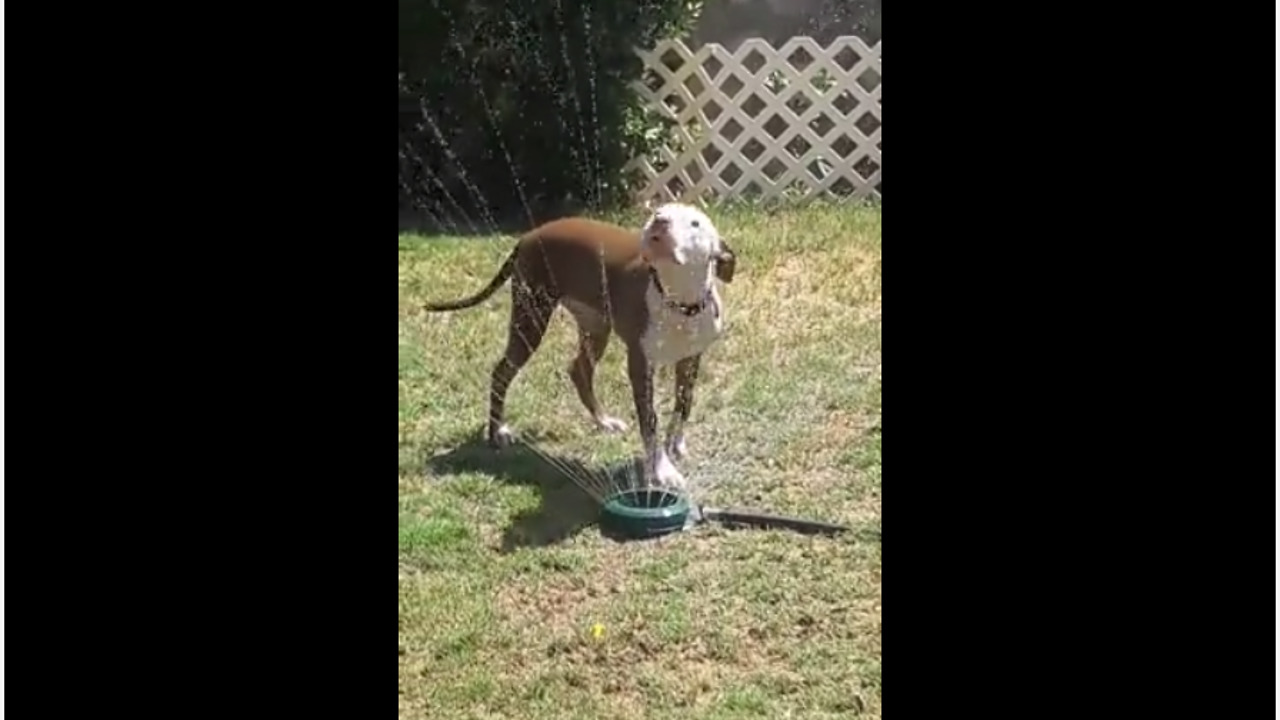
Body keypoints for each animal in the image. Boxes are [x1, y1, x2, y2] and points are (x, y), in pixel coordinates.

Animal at [424, 202, 737, 486]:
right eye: (658, 210)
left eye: (695, 223)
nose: (659, 220)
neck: (677, 301)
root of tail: (529, 236)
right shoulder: (640, 364)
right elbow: (650, 421)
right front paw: (663, 470)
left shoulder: (691, 359)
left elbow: (684, 404)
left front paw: (676, 445)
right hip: (531, 317)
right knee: (502, 371)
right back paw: (496, 432)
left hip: (595, 326)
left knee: (579, 370)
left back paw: (603, 420)